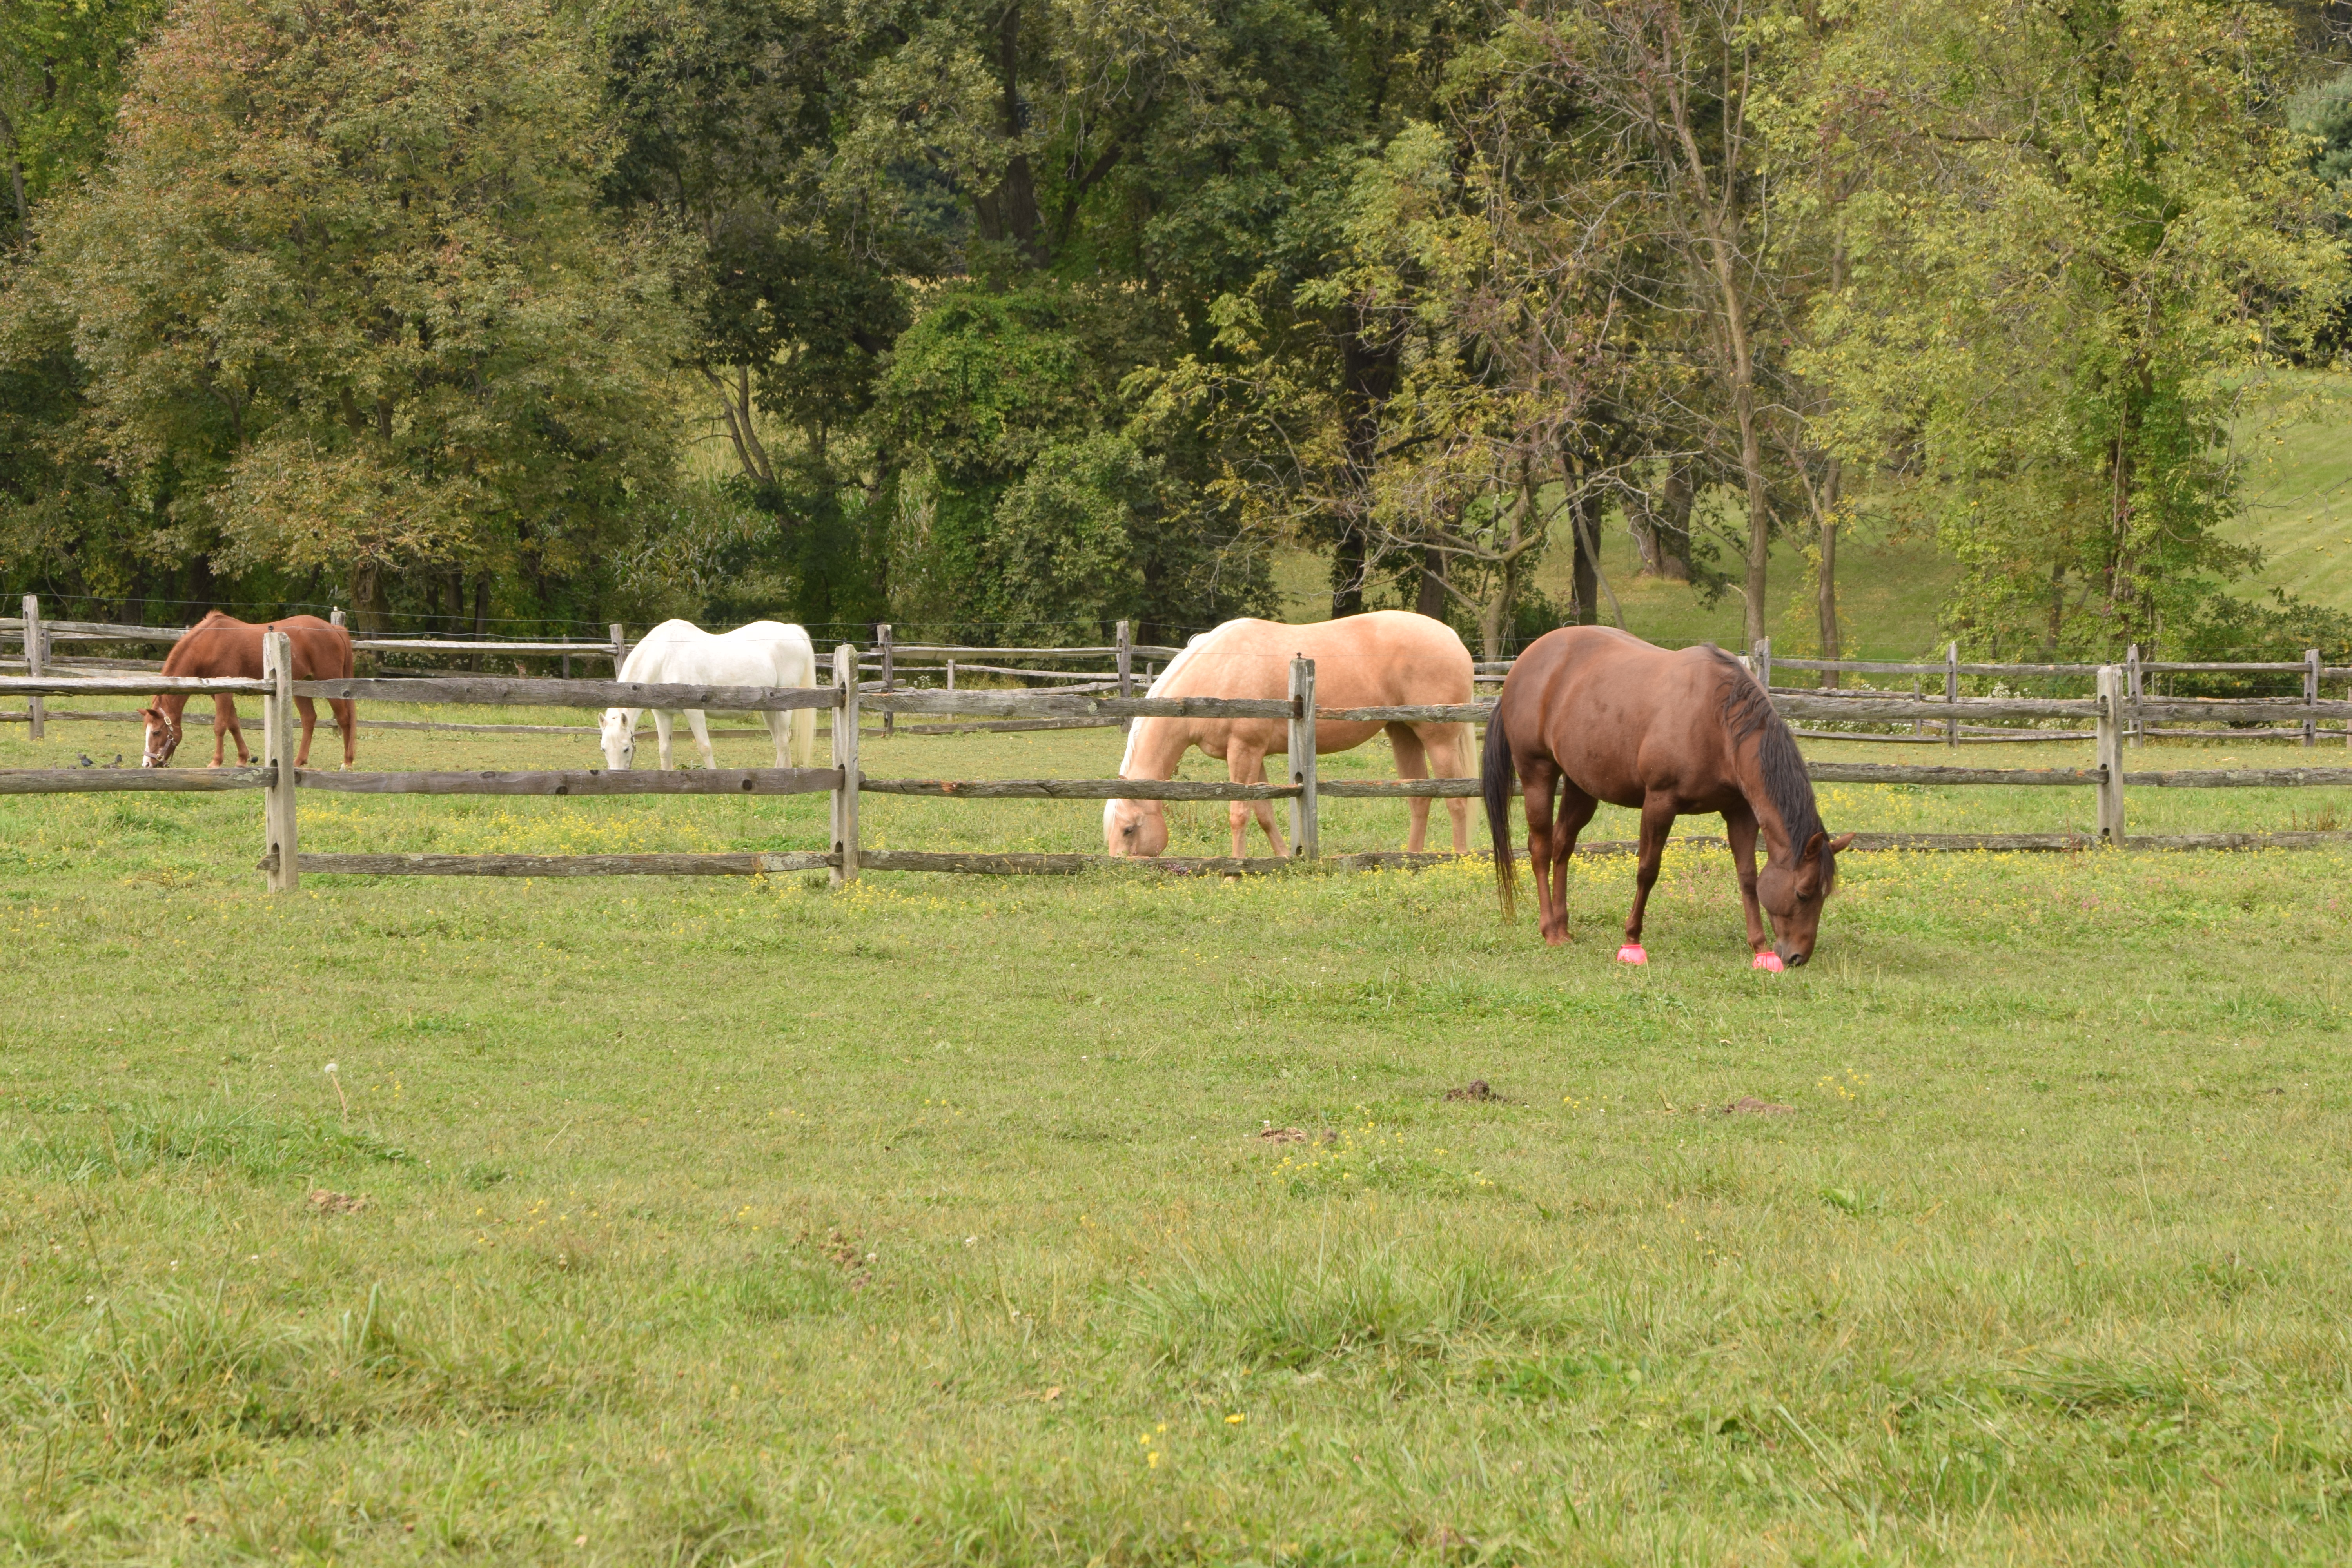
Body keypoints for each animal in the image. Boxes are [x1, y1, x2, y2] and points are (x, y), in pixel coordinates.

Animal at [139, 611, 353, 766]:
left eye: (156, 732)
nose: (147, 764)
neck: (209, 643)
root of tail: (334, 628)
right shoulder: (218, 692)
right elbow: (233, 724)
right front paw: (243, 758)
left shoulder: (224, 692)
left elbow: (220, 726)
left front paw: (216, 762)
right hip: (303, 686)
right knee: (309, 719)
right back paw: (299, 761)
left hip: (330, 684)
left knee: (344, 719)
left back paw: (347, 762)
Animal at [597, 621, 818, 776]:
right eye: (603, 749)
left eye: (626, 749)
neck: (664, 657)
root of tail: (792, 631)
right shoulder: (662, 714)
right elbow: (665, 749)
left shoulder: (694, 712)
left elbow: (705, 747)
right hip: (770, 709)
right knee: (782, 739)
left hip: (785, 705)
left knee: (782, 740)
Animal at [1101, 611, 1468, 860]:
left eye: (1129, 829)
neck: (1217, 671)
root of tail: (1453, 637)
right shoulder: (1255, 755)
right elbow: (1263, 814)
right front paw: (1283, 859)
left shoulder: (1243, 752)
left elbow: (1239, 814)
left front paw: (1235, 870)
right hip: (1403, 733)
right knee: (1420, 796)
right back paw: (1412, 858)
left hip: (1439, 740)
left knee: (1457, 799)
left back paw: (1459, 858)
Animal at [1486, 625, 1853, 968]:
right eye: (1802, 894)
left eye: (1824, 895)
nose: (1797, 957)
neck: (1719, 720)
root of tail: (1522, 664)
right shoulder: (1660, 803)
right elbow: (1648, 871)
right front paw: (1632, 941)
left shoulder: (1740, 812)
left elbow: (1748, 876)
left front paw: (1760, 949)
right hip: (1537, 773)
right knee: (1541, 848)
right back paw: (1550, 930)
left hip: (1582, 785)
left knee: (1563, 846)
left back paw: (1563, 928)